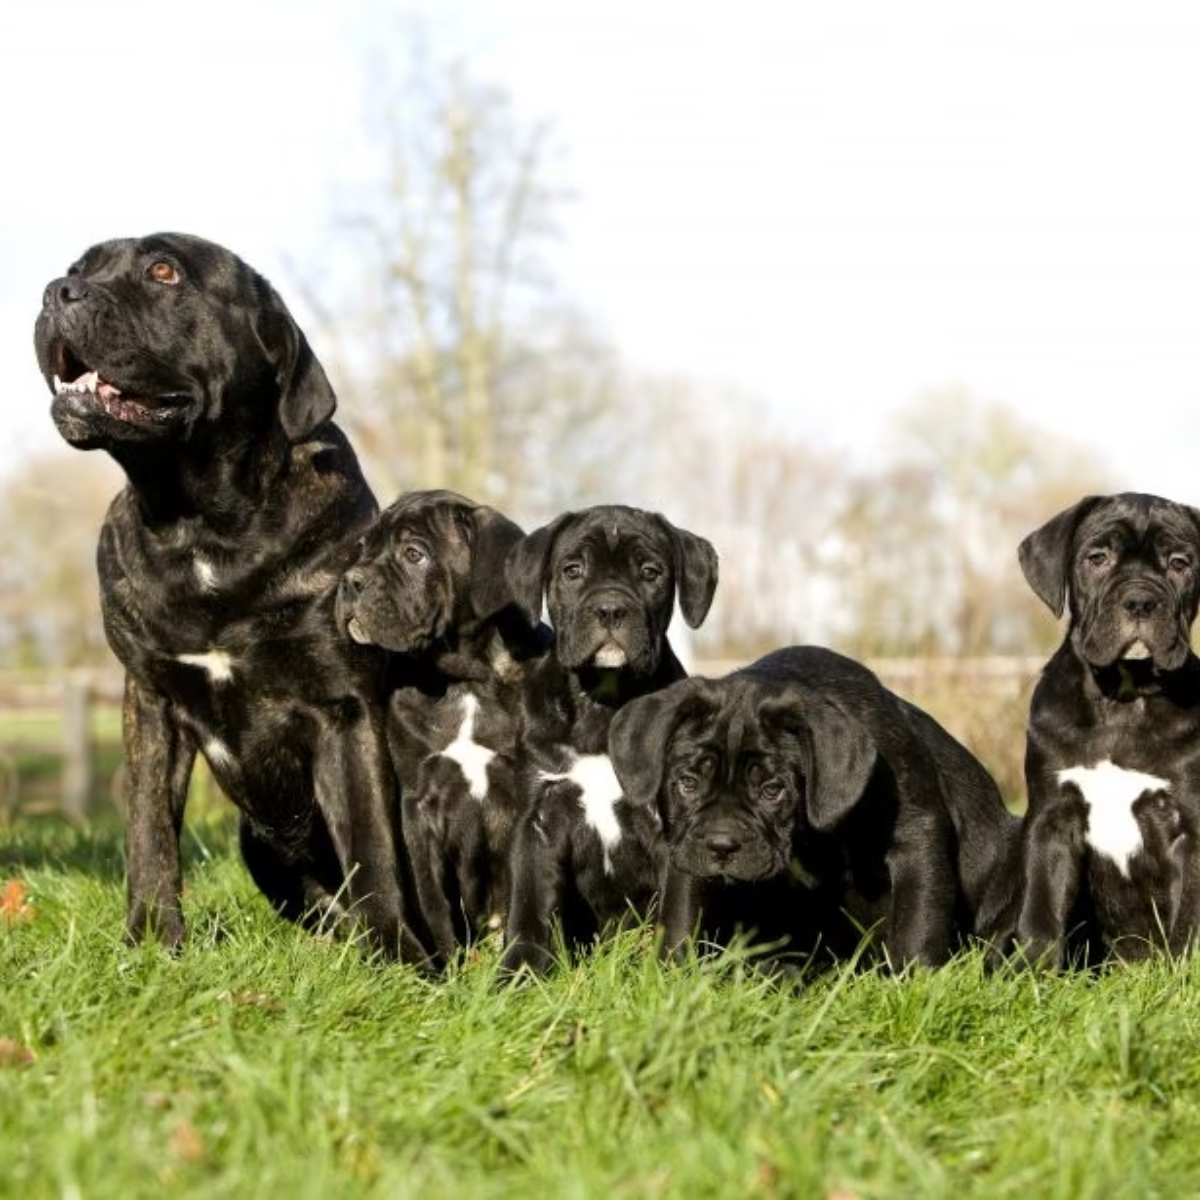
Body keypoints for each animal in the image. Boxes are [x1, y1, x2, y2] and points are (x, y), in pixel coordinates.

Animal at [35, 234, 427, 960]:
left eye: (164, 271)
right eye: (79, 269)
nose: (56, 292)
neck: (201, 526)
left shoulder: (346, 709)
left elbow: (373, 845)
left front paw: (395, 957)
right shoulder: (151, 700)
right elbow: (150, 834)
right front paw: (151, 944)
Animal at [333, 487, 549, 964]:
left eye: (415, 554)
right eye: (363, 548)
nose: (351, 580)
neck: (464, 679)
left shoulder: (525, 802)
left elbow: (523, 888)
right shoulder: (419, 806)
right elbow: (432, 896)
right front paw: (446, 965)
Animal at [499, 506, 720, 974]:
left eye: (651, 572)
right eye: (572, 571)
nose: (611, 608)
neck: (602, 705)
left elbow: (678, 912)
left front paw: (672, 976)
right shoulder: (537, 821)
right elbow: (528, 907)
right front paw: (519, 973)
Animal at [604, 648, 1017, 964]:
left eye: (773, 790)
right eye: (687, 784)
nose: (722, 844)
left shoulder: (917, 838)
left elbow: (918, 925)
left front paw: (913, 987)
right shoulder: (687, 848)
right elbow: (682, 916)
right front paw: (674, 976)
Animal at [1012, 487, 1200, 964]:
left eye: (1180, 564)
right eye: (1097, 558)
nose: (1140, 602)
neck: (1124, 698)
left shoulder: (1192, 825)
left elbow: (1189, 919)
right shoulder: (1052, 818)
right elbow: (1040, 910)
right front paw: (1033, 972)